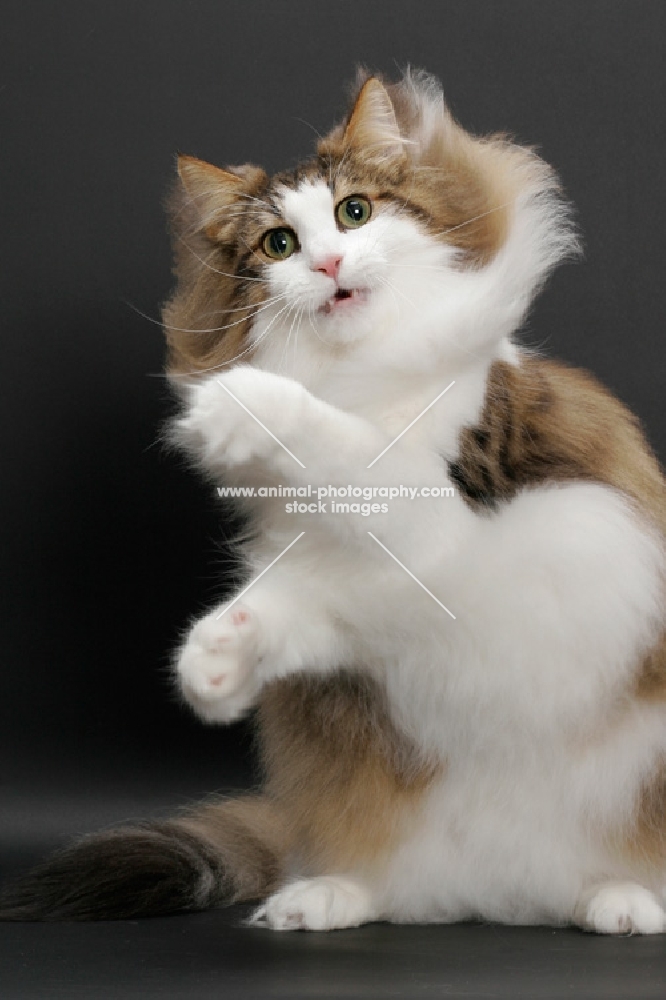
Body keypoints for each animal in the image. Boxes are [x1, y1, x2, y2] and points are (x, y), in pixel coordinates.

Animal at [1, 72, 664, 936]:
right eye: (279, 244)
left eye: (355, 211)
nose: (328, 262)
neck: (362, 377)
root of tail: (500, 898)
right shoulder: (351, 592)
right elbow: (292, 608)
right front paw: (216, 658)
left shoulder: (440, 516)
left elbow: (348, 448)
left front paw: (241, 407)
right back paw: (320, 897)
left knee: (603, 877)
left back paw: (622, 900)